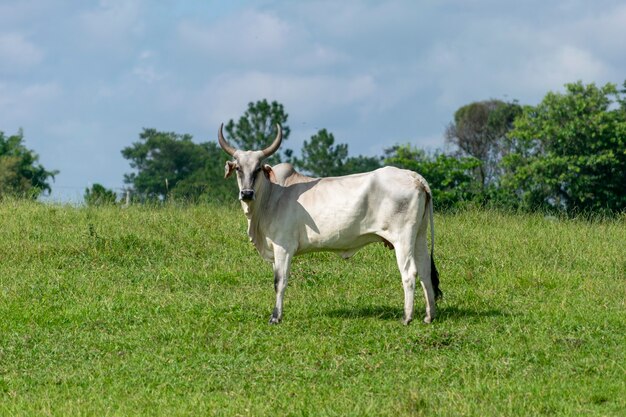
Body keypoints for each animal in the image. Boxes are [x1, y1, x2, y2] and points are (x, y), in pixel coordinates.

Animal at [217, 123, 442, 324]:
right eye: (238, 168)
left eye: (257, 169)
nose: (246, 193)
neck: (271, 197)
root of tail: (413, 176)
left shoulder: (284, 248)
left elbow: (279, 282)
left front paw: (275, 317)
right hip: (419, 236)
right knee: (424, 271)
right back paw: (429, 316)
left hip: (402, 239)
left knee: (409, 273)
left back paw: (407, 317)